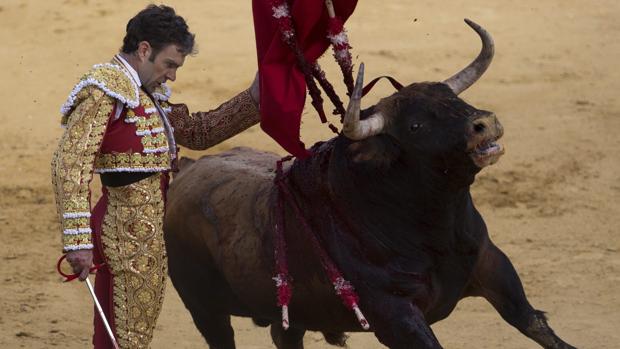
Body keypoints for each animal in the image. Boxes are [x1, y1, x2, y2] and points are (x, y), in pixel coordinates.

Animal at [162, 19, 572, 348]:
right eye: (415, 126)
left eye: (454, 99)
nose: (485, 124)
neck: (435, 229)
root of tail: (187, 168)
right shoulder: (395, 315)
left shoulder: (492, 263)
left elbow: (533, 322)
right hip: (204, 308)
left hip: (294, 312)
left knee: (285, 336)